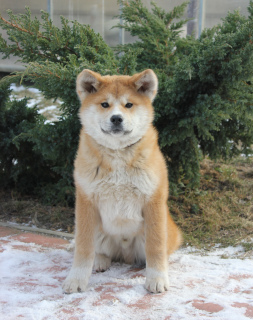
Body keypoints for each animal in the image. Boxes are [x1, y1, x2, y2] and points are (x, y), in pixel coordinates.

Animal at [63, 69, 182, 294]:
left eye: (129, 105)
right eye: (104, 104)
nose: (116, 118)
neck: (117, 154)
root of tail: (125, 255)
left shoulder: (153, 201)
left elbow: (155, 247)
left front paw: (157, 278)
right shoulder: (86, 202)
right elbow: (84, 248)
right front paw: (76, 279)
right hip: (99, 230)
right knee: (100, 251)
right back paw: (100, 261)